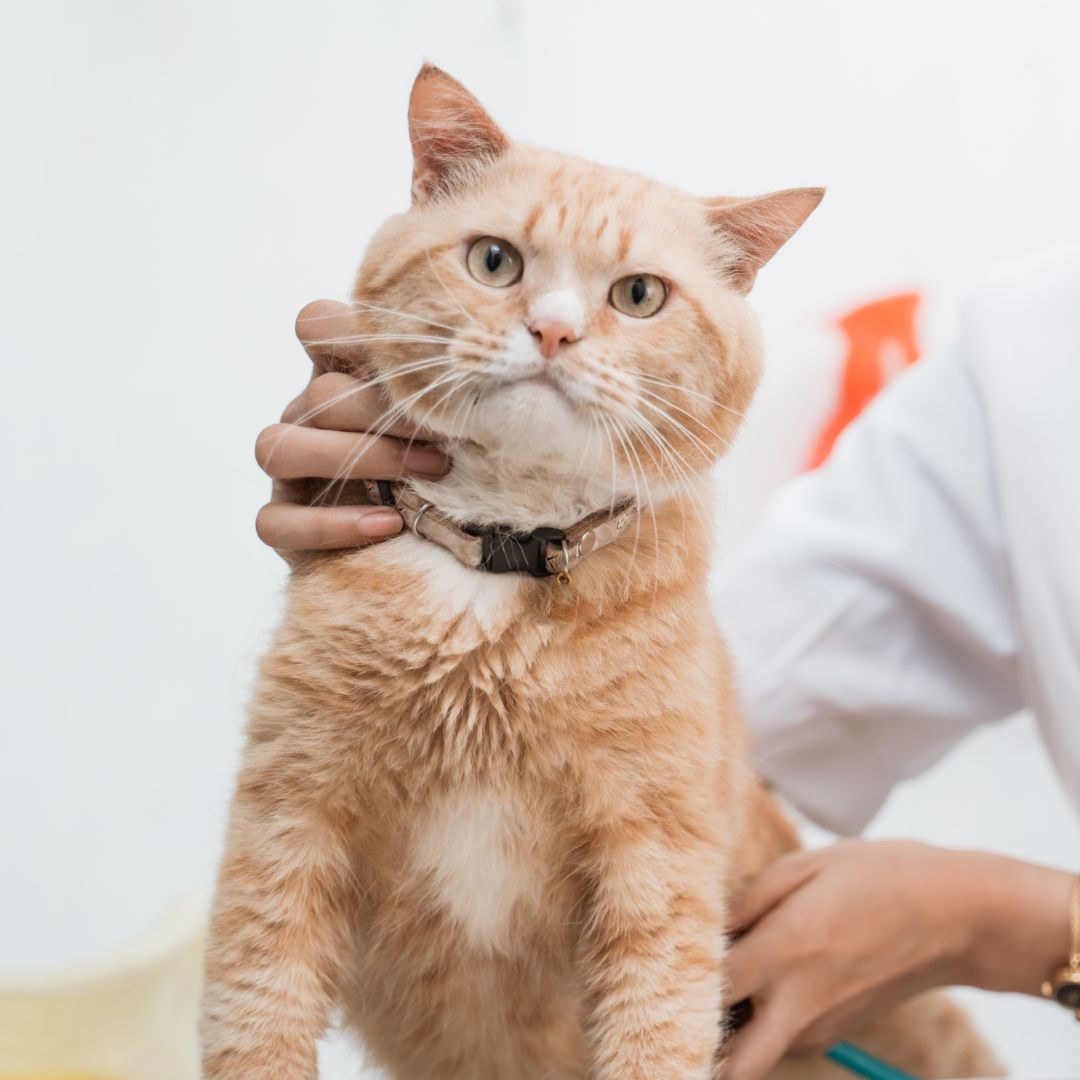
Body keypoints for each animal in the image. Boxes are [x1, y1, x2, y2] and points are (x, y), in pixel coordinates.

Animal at [198, 67, 997, 1080]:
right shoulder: (287, 824)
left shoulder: (656, 867)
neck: (497, 572)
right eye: (494, 262)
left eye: (640, 294)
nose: (553, 332)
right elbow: (257, 1018)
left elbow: (655, 1035)